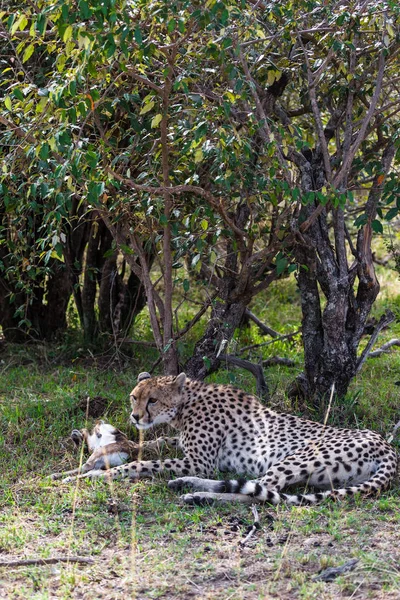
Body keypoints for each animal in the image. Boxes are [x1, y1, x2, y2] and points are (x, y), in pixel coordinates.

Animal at [70, 370, 398, 506]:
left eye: (152, 400)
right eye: (134, 397)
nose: (136, 416)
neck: (187, 402)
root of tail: (387, 446)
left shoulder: (199, 461)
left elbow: (143, 464)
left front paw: (96, 474)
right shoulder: (185, 446)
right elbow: (155, 444)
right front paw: (114, 447)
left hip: (297, 457)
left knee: (260, 493)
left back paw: (197, 495)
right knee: (253, 488)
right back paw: (185, 485)